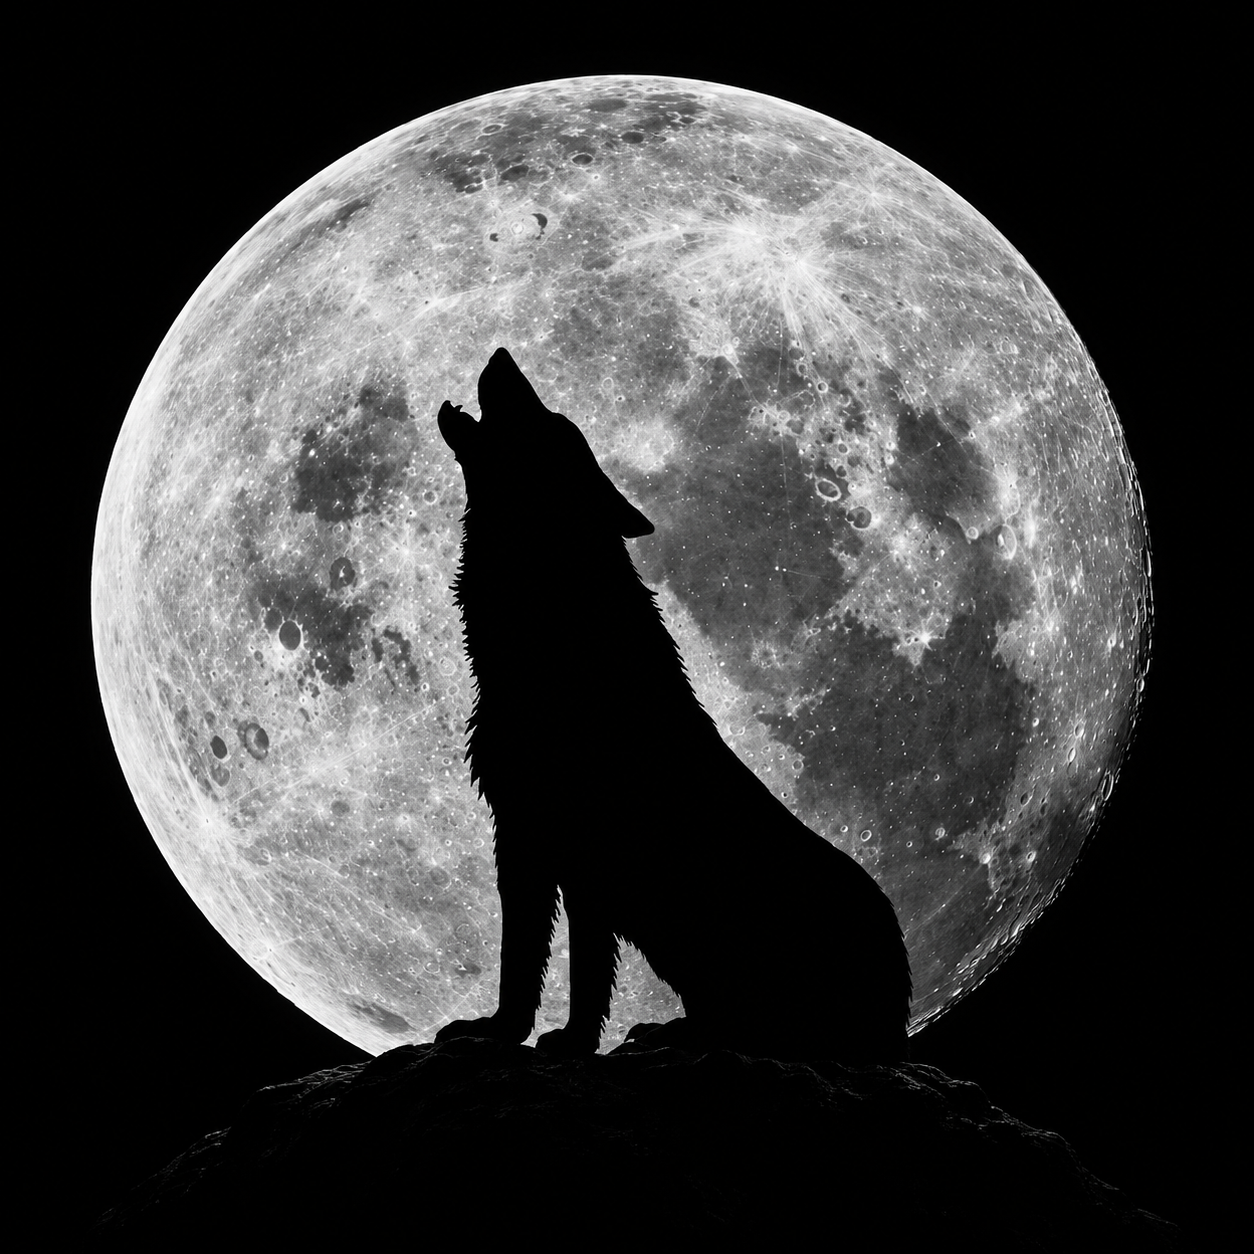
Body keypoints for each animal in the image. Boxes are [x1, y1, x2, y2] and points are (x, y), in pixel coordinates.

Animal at [435, 348, 911, 1064]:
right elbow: (520, 961)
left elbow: (579, 970)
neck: (556, 628)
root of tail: (901, 1026)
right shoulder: (521, 840)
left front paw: (569, 1042)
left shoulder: (582, 858)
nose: (501, 355)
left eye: (549, 421)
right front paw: (499, 1031)